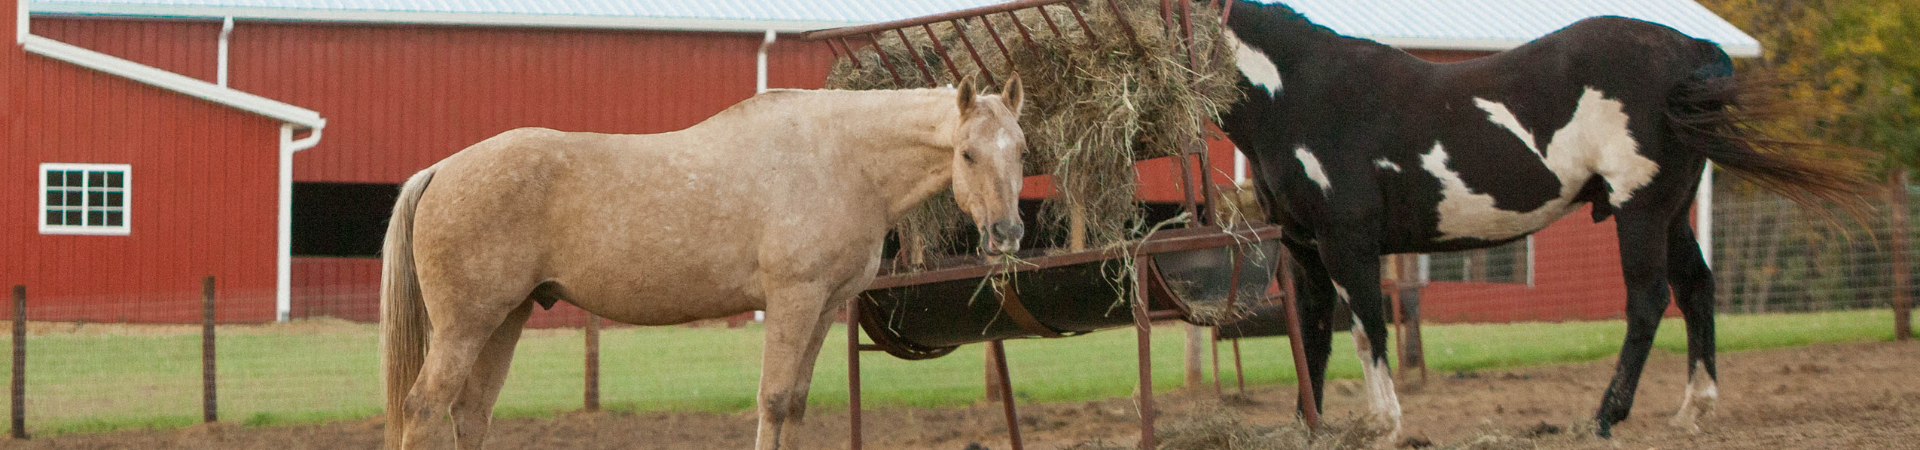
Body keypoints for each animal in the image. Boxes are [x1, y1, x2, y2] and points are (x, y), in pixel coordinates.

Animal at [380, 79, 1029, 448]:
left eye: (1021, 149)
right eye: (967, 154)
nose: (1007, 233)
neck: (838, 158)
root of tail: (441, 169)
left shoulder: (823, 308)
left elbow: (795, 405)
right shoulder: (792, 299)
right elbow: (772, 401)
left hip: (506, 317)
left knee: (470, 414)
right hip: (465, 326)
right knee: (424, 407)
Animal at [1221, 0, 1866, 440]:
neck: (1302, 94)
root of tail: (1690, 50)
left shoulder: (1347, 242)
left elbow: (1366, 332)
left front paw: (1383, 423)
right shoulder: (1305, 250)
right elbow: (1311, 337)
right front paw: (1309, 427)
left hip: (1640, 211)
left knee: (1649, 301)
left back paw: (1605, 416)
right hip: (1672, 213)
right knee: (1697, 291)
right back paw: (1691, 410)